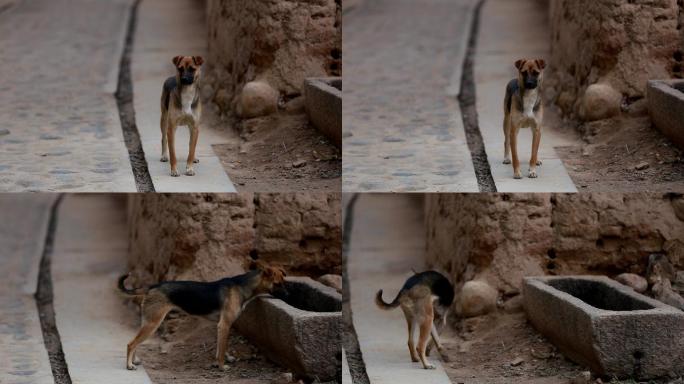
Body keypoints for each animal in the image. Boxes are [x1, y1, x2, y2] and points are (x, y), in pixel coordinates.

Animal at [119, 260, 284, 372]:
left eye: (283, 281)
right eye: (277, 283)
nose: (287, 294)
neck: (242, 286)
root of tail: (153, 286)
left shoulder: (221, 326)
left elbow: (220, 347)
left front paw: (222, 361)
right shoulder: (224, 325)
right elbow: (222, 348)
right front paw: (222, 366)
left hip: (148, 322)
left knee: (136, 342)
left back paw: (134, 361)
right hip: (153, 323)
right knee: (131, 344)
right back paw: (129, 365)